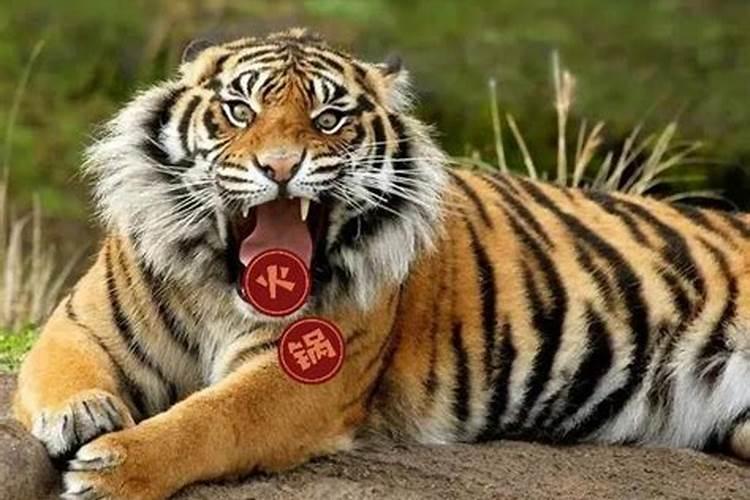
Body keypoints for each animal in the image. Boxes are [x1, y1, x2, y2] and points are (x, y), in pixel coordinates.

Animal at [11, 27, 750, 499]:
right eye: (239, 110)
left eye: (330, 119)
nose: (280, 166)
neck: (221, 286)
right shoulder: (80, 321)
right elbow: (61, 369)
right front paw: (81, 416)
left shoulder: (303, 375)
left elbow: (210, 420)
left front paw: (112, 469)